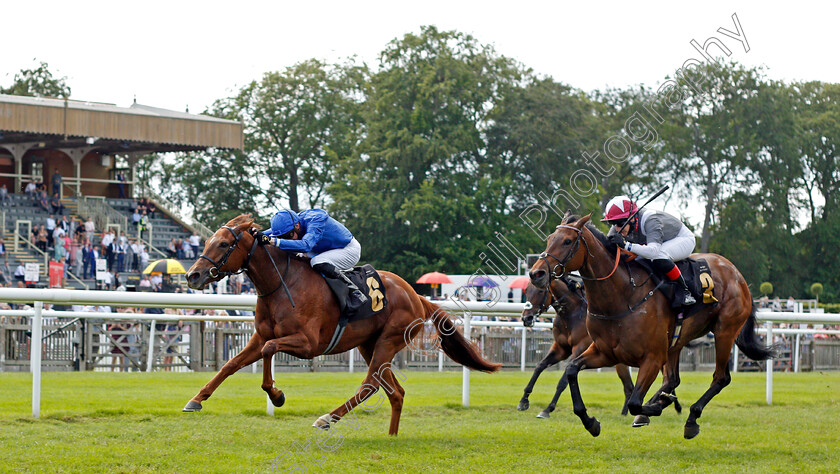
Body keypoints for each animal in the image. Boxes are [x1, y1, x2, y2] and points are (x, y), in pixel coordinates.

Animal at [184, 215, 498, 434]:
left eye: (224, 244)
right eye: (208, 241)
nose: (192, 275)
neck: (282, 284)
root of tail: (417, 294)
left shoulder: (308, 344)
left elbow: (269, 350)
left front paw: (277, 395)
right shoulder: (259, 336)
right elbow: (231, 364)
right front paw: (196, 399)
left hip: (389, 340)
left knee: (369, 385)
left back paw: (327, 418)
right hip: (370, 345)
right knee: (394, 391)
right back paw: (392, 436)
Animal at [516, 278, 680, 418]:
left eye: (540, 291)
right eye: (526, 291)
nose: (526, 318)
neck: (572, 314)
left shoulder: (580, 347)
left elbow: (563, 381)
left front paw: (547, 409)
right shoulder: (561, 348)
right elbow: (540, 366)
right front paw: (523, 401)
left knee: (667, 379)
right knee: (630, 386)